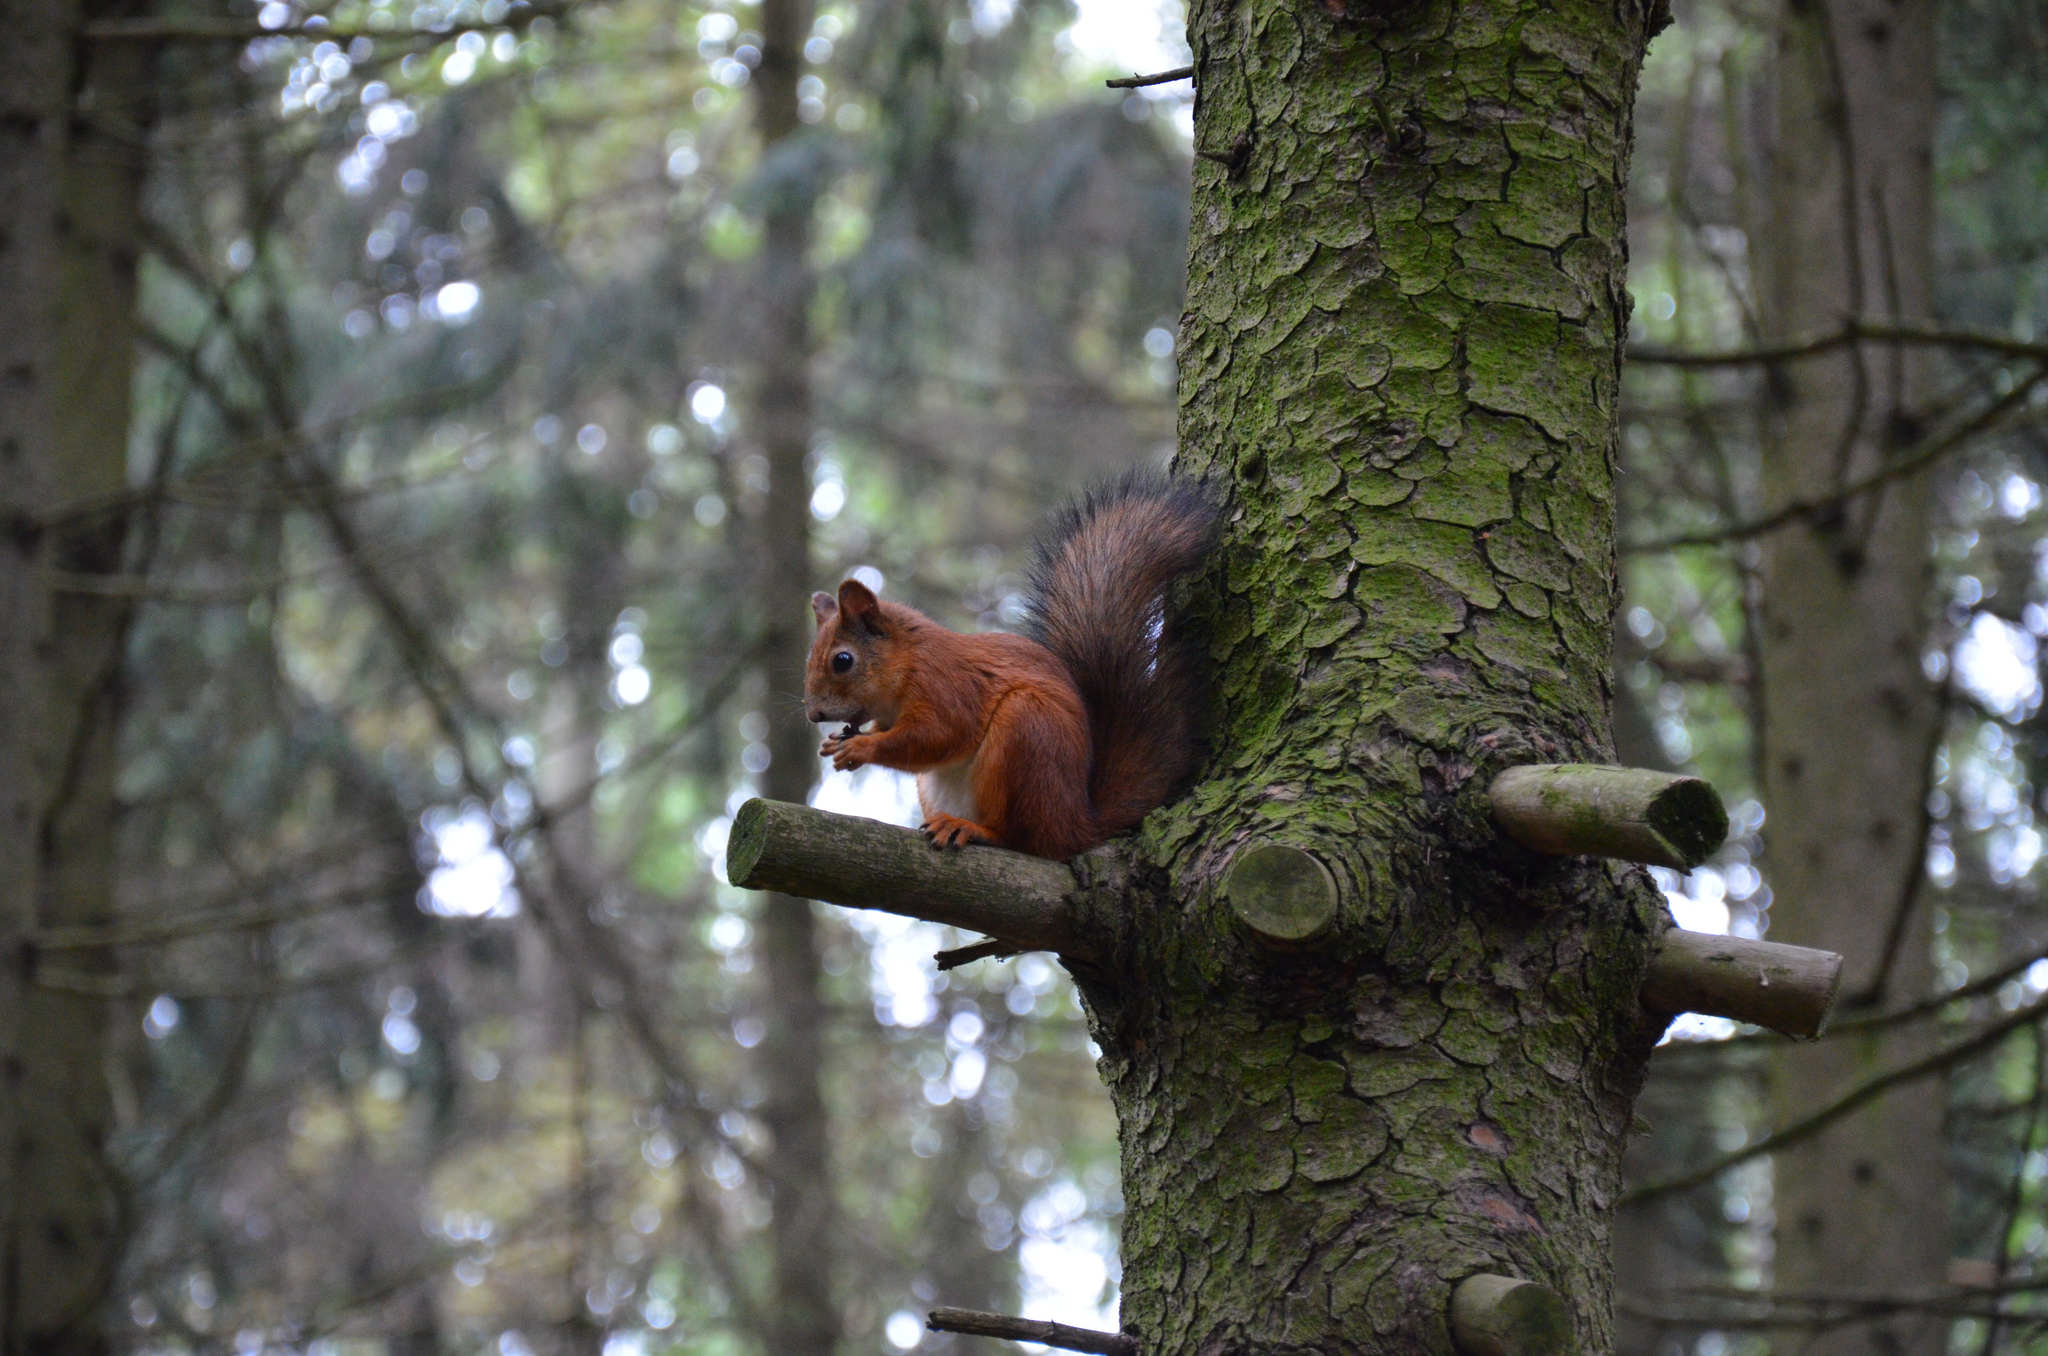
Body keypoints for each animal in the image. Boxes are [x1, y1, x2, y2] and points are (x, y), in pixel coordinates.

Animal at [798, 477, 1212, 860]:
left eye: (843, 660)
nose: (814, 714)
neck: (906, 665)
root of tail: (1076, 824)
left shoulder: (946, 686)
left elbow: (936, 735)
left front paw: (863, 746)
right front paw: (836, 742)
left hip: (1025, 734)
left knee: (1021, 839)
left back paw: (973, 829)